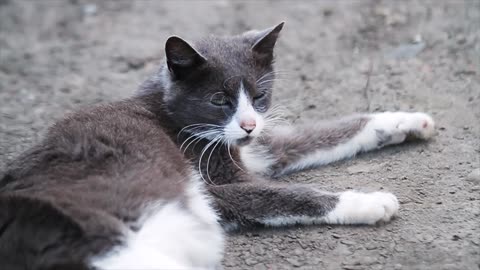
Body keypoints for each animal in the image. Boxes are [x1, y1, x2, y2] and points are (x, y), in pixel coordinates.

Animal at [0, 23, 436, 270]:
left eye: (259, 95)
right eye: (218, 100)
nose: (248, 125)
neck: (169, 113)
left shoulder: (254, 147)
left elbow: (317, 135)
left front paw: (406, 121)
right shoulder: (214, 184)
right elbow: (283, 195)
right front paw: (370, 200)